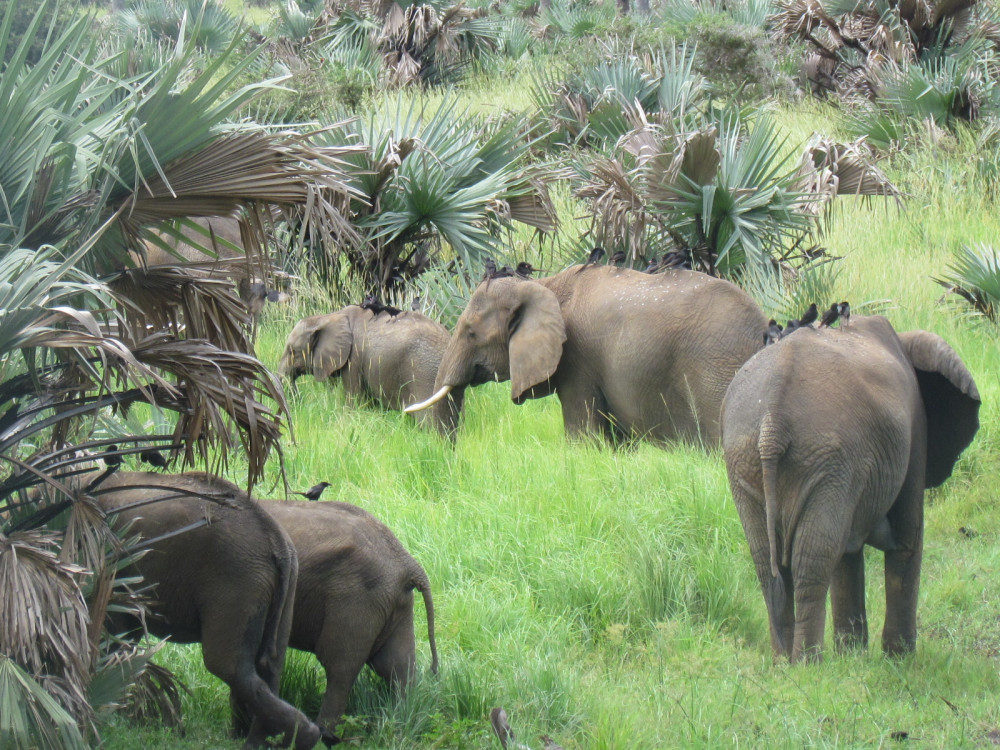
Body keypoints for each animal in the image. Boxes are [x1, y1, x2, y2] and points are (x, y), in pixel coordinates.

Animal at [94, 472, 320, 748]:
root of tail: (277, 542)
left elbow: (115, 633)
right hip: (282, 586)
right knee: (270, 666)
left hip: (237, 581)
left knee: (229, 666)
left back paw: (299, 737)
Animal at [260, 500, 440, 748]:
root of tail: (408, 563)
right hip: (393, 603)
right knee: (395, 665)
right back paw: (402, 721)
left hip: (355, 600)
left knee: (340, 669)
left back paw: (325, 736)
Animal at [406, 268, 764, 450]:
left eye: (470, 333)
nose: (452, 458)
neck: (542, 285)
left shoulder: (578, 359)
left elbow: (583, 435)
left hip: (714, 374)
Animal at [724, 318, 980, 664]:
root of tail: (772, 423)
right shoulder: (914, 430)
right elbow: (907, 541)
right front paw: (899, 661)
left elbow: (847, 554)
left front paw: (853, 657)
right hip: (826, 458)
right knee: (812, 560)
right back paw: (808, 665)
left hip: (751, 460)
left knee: (769, 566)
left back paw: (783, 664)